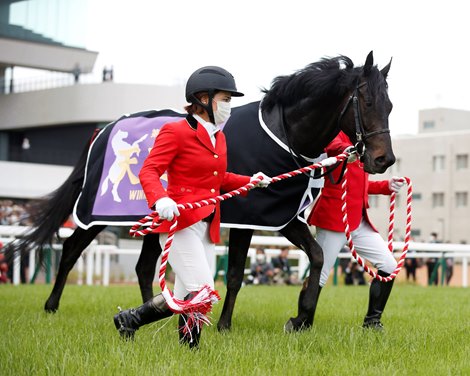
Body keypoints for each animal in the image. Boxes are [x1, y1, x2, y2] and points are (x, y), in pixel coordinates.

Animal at [8, 52, 396, 332]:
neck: (283, 133)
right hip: (95, 215)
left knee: (144, 266)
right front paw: (226, 325)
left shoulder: (283, 216)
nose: (384, 160)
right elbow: (238, 274)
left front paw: (300, 318)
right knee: (72, 248)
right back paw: (51, 306)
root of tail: (103, 129)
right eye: (367, 102)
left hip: (155, 221)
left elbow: (315, 257)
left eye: (390, 106)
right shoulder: (254, 218)